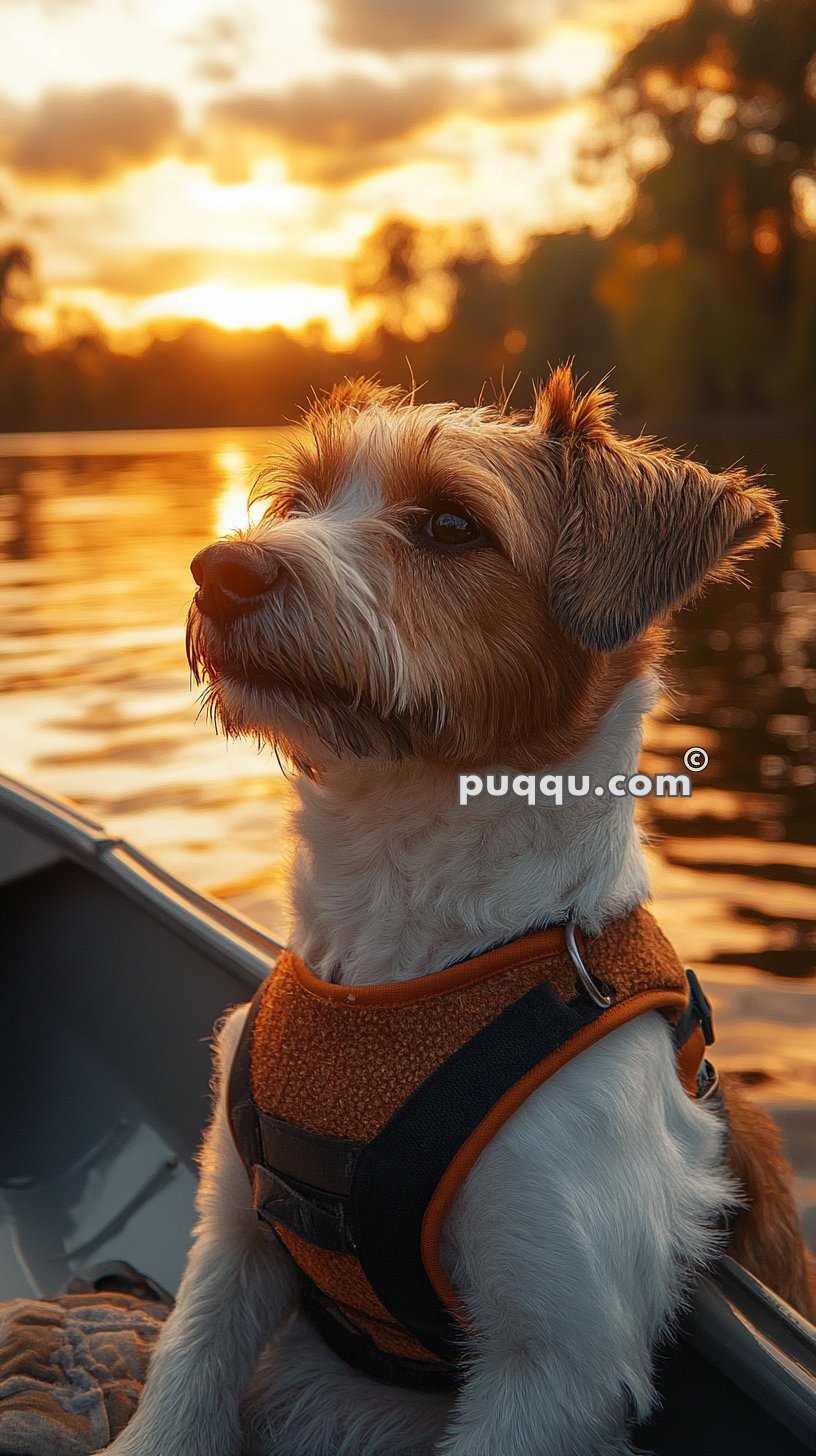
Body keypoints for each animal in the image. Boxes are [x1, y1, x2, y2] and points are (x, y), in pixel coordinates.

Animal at [103, 375, 816, 1456]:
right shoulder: (232, 1238)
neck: (400, 949)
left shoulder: (551, 1360)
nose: (220, 569)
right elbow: (183, 1390)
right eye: (300, 501)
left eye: (449, 524)